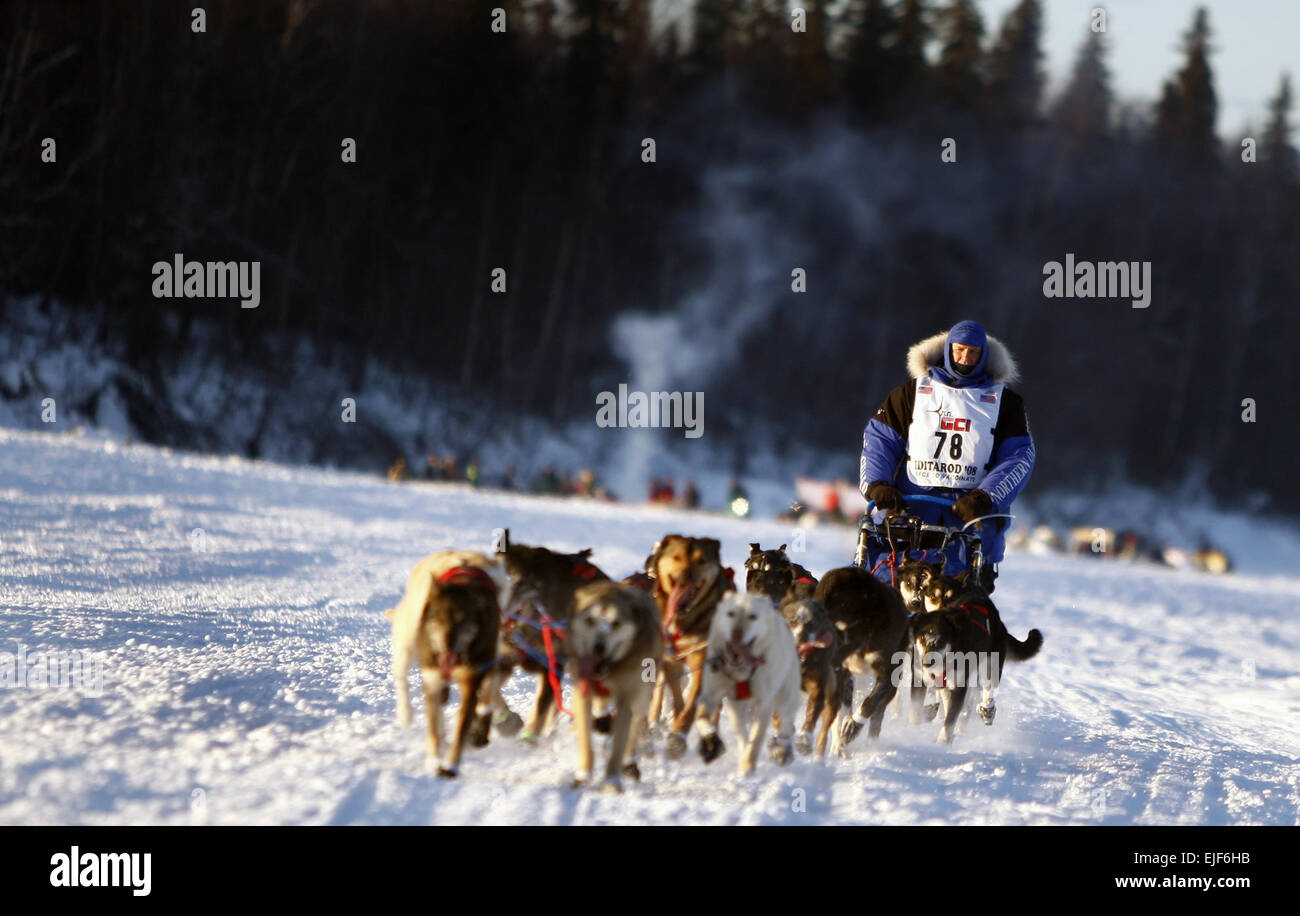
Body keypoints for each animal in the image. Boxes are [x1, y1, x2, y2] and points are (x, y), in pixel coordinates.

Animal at [566, 582, 665, 789]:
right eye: (589, 619)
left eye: (616, 623)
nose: (599, 647)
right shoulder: (583, 692)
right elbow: (586, 739)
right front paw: (583, 775)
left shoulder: (627, 699)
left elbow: (620, 744)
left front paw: (611, 781)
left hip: (642, 697)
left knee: (634, 730)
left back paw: (629, 763)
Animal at [647, 535, 738, 758]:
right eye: (676, 557)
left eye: (701, 560)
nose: (687, 574)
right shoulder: (670, 660)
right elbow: (679, 700)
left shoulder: (702, 661)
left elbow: (692, 705)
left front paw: (678, 738)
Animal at [691, 589, 800, 774]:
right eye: (730, 613)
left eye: (753, 616)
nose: (736, 634)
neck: (741, 671)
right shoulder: (711, 694)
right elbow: (701, 716)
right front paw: (711, 740)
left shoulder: (764, 703)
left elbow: (757, 737)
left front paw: (749, 765)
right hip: (736, 708)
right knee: (742, 733)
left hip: (787, 695)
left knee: (785, 722)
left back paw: (782, 750)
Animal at [909, 579, 1040, 743]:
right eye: (922, 639)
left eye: (941, 641)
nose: (927, 663)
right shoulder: (922, 679)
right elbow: (917, 711)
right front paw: (913, 732)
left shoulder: (960, 685)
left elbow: (950, 719)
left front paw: (942, 742)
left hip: (990, 666)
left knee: (986, 689)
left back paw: (986, 709)